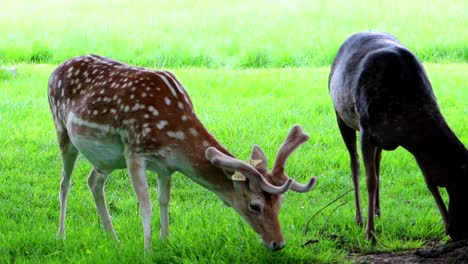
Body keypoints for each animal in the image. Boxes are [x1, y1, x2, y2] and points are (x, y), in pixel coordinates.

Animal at [47, 54, 316, 251]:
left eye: (280, 204)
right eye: (255, 205)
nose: (278, 243)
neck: (175, 133)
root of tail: (55, 70)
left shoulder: (166, 166)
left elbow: (164, 201)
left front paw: (166, 241)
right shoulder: (134, 151)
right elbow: (146, 205)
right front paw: (148, 251)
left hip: (106, 160)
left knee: (93, 181)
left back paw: (113, 238)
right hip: (62, 131)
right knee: (64, 183)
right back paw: (61, 235)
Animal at [330, 31, 468, 243]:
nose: (459, 233)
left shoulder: (415, 144)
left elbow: (429, 181)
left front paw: (445, 224)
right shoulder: (366, 128)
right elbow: (370, 180)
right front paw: (370, 234)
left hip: (378, 141)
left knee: (377, 163)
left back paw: (377, 210)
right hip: (341, 116)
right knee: (355, 163)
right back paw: (359, 218)